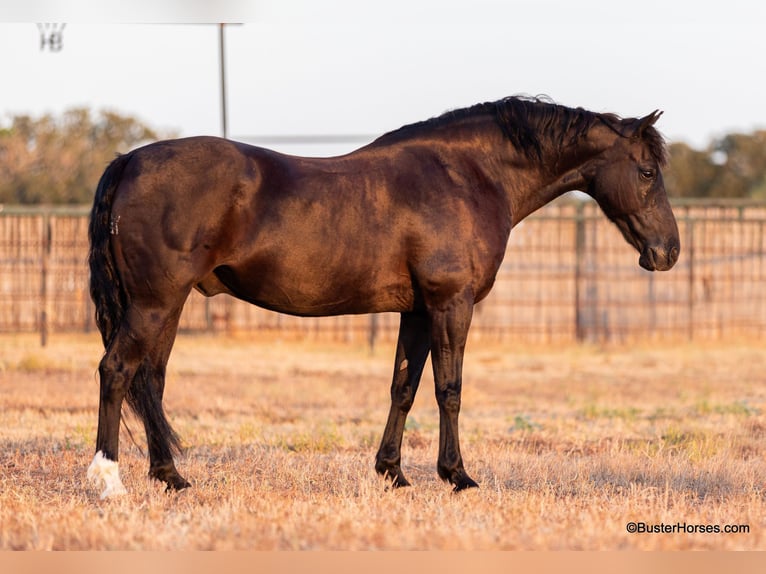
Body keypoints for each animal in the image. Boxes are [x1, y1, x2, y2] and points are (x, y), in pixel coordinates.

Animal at [87, 95, 680, 500]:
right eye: (647, 171)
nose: (668, 251)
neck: (467, 177)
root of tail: (131, 160)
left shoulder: (415, 311)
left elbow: (404, 387)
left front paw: (392, 472)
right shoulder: (450, 304)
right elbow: (449, 389)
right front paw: (457, 475)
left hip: (168, 304)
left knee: (150, 380)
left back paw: (171, 477)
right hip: (155, 302)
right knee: (117, 370)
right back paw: (109, 479)